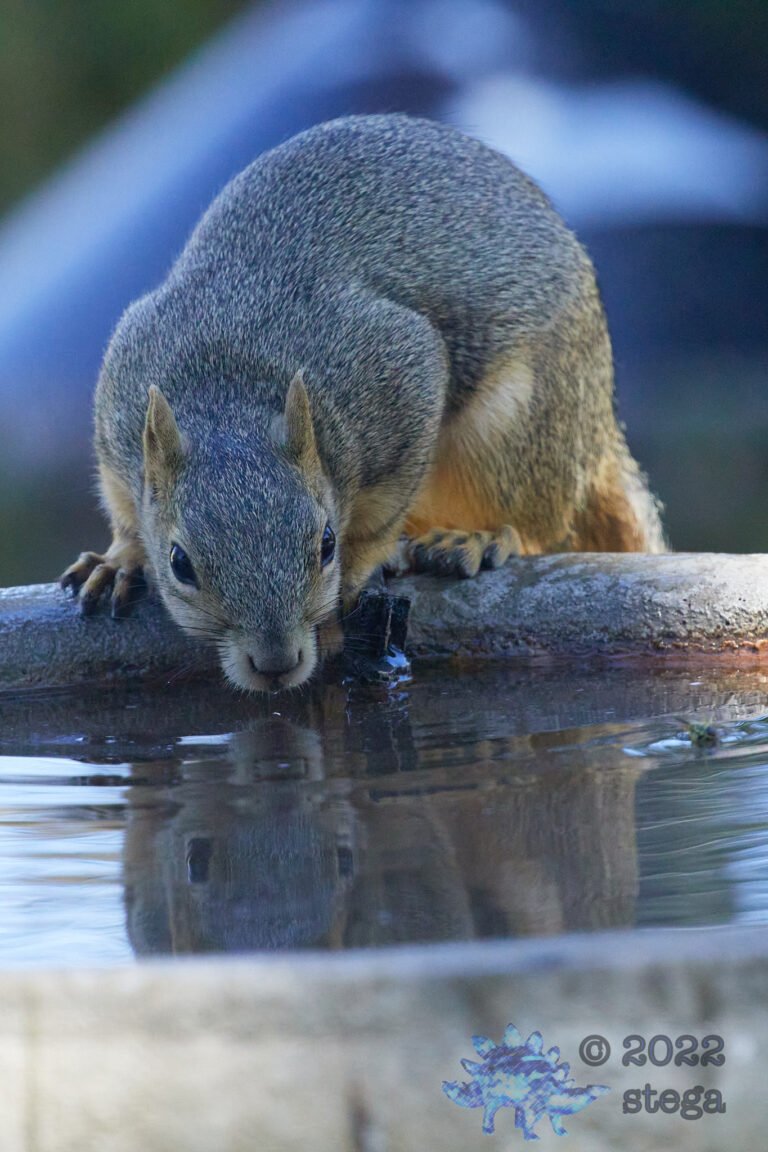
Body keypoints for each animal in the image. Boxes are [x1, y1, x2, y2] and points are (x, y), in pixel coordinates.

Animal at [61, 114, 665, 693]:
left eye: (327, 544)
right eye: (180, 563)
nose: (277, 663)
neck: (227, 386)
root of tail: (598, 429)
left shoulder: (400, 379)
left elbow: (377, 520)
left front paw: (352, 580)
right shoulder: (119, 411)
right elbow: (126, 511)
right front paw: (120, 558)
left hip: (514, 432)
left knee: (534, 522)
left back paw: (478, 536)